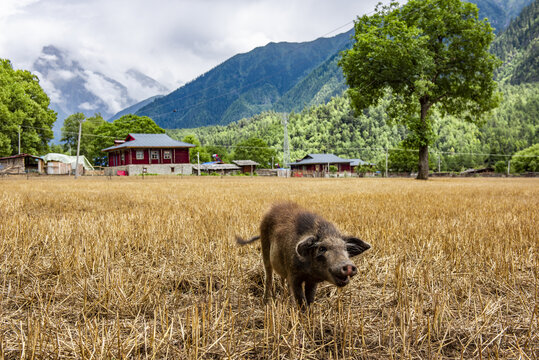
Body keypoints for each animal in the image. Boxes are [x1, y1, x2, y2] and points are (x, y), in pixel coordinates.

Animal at [236, 202, 372, 306]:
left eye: (345, 248)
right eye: (322, 248)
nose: (348, 265)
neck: (308, 271)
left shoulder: (312, 281)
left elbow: (310, 298)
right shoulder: (294, 275)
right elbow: (301, 299)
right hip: (265, 249)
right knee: (268, 276)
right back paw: (266, 302)